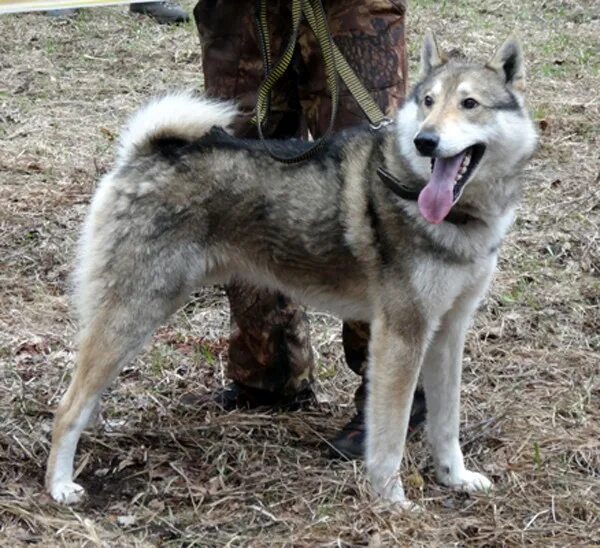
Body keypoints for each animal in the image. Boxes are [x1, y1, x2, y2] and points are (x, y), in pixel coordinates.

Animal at [44, 32, 536, 508]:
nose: (425, 141)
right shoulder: (401, 336)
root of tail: (144, 154)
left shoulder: (448, 332)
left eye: (469, 104)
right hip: (137, 311)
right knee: (67, 406)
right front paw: (391, 500)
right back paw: (60, 485)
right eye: (429, 102)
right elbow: (390, 437)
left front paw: (455, 478)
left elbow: (446, 421)